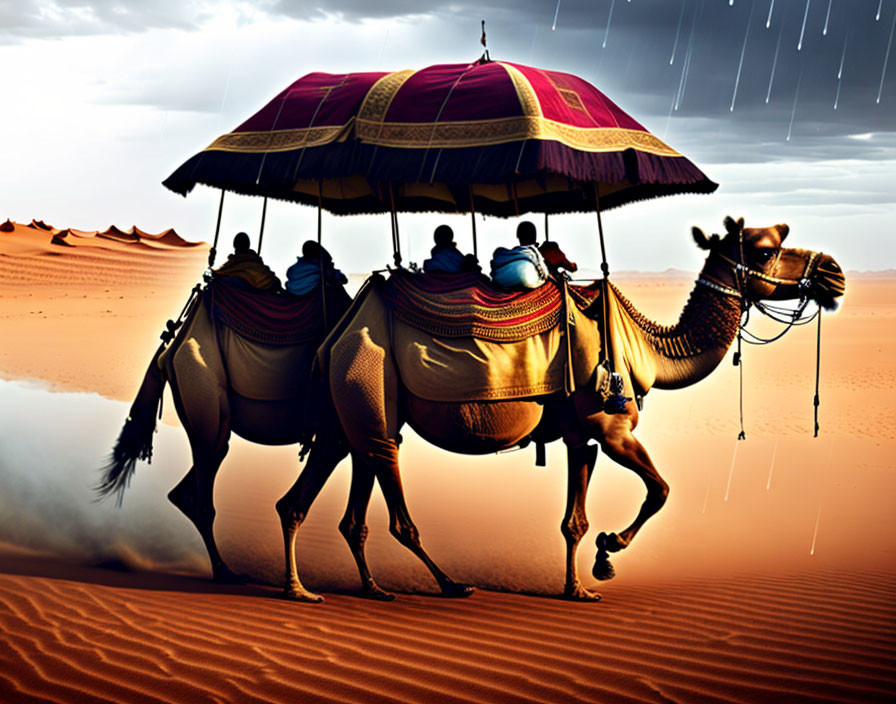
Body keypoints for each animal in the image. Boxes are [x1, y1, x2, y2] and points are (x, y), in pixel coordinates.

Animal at [98, 280, 350, 600]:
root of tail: (169, 351)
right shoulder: (339, 431)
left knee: (190, 483)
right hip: (203, 390)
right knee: (204, 490)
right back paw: (224, 572)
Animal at [290, 217, 844, 604]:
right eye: (767, 248)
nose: (833, 272)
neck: (646, 347)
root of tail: (339, 332)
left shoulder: (582, 435)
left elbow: (573, 520)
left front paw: (580, 585)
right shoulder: (613, 427)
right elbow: (661, 490)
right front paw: (610, 550)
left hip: (350, 417)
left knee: (323, 499)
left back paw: (346, 589)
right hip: (370, 380)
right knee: (394, 507)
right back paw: (449, 585)